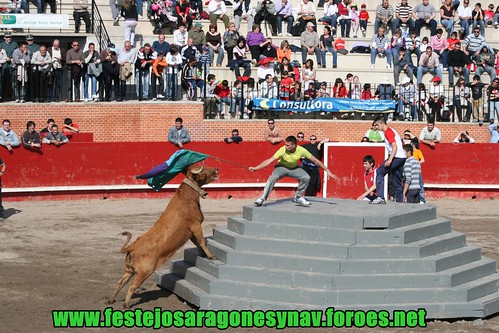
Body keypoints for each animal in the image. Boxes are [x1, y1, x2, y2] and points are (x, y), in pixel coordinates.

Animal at [108, 163, 218, 306]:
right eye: (202, 170)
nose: (216, 169)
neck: (187, 197)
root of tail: (132, 247)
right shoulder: (196, 226)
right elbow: (202, 241)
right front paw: (211, 256)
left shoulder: (190, 232)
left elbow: (198, 243)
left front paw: (202, 254)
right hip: (145, 271)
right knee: (132, 285)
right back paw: (126, 304)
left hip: (129, 270)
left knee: (120, 282)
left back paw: (111, 300)